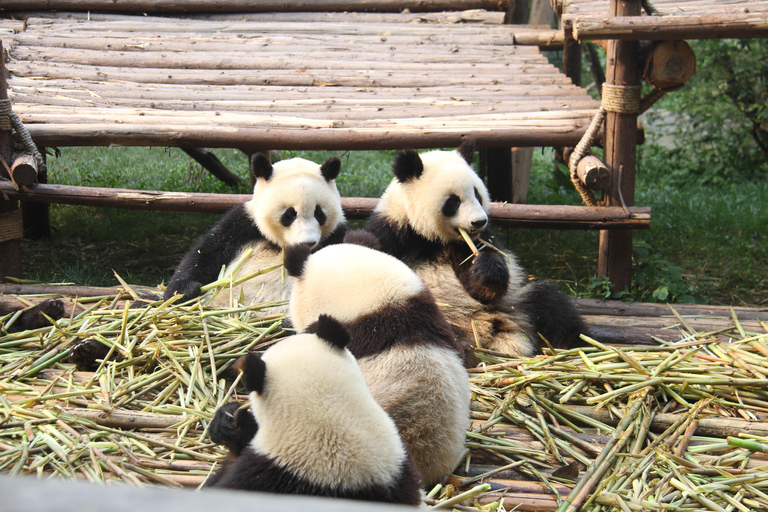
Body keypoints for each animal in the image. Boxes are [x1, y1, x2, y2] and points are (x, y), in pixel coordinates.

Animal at [163, 153, 347, 309]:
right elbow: (205, 254)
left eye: (319, 213)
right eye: (289, 214)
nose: (307, 242)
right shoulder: (243, 225)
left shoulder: (337, 233)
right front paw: (183, 292)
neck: (280, 245)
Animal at [363, 140, 590, 357]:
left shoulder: (472, 242)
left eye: (477, 194)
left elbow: (483, 288)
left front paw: (485, 269)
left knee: (550, 304)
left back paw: (578, 347)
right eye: (453, 201)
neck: (430, 237)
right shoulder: (392, 232)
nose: (479, 221)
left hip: (515, 304)